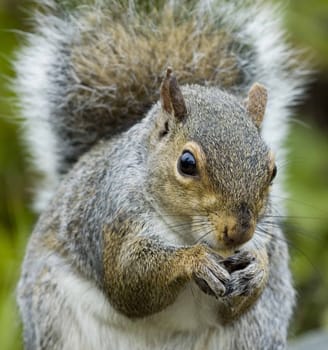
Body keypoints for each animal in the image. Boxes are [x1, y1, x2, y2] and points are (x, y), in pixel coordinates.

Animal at [13, 0, 304, 350]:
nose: (240, 231)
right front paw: (194, 261)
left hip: (254, 333)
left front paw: (258, 269)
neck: (187, 233)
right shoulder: (114, 219)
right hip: (52, 317)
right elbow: (129, 282)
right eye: (187, 163)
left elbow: (234, 307)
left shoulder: (265, 238)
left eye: (273, 170)